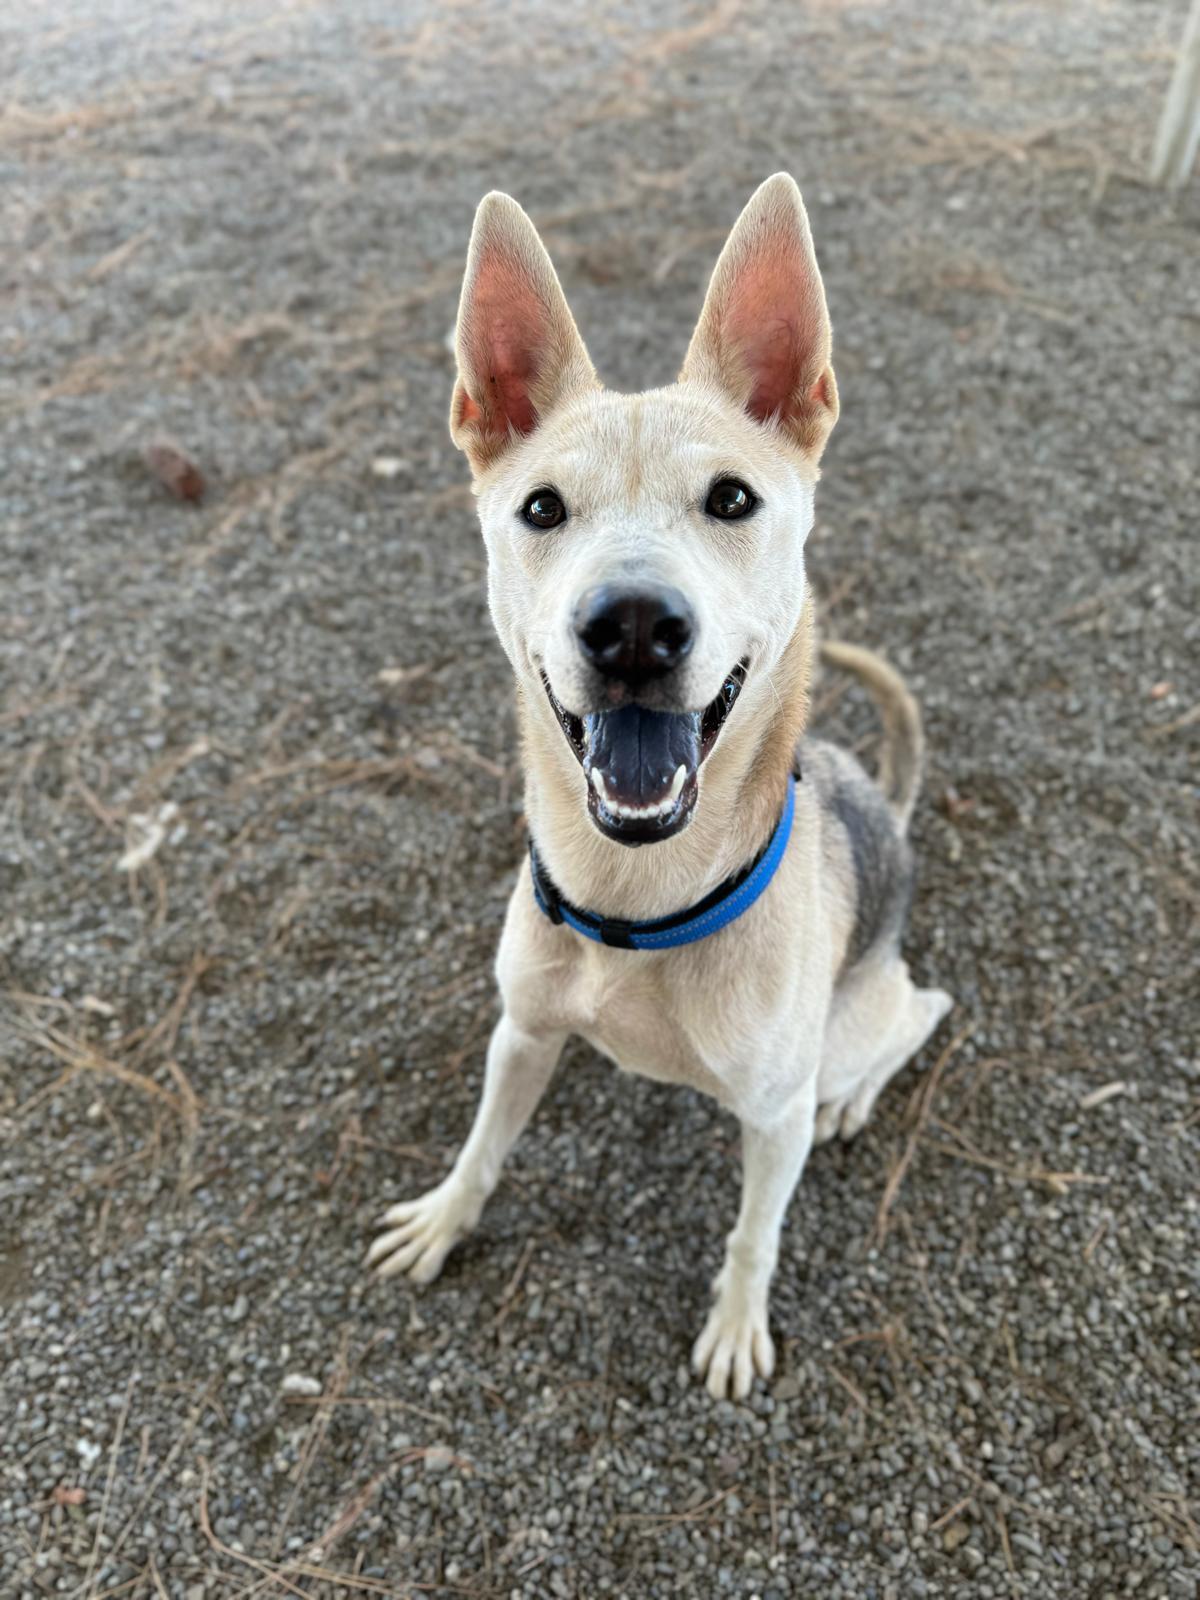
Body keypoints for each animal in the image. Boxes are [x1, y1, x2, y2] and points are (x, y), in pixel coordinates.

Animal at [371, 175, 953, 1401]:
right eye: (541, 509)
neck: (637, 906)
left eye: (731, 498)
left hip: (854, 1026)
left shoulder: (771, 1121)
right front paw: (445, 1218)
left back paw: (857, 1093)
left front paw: (735, 1327)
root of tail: (882, 805)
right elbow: (483, 1143)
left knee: (922, 1011)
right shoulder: (521, 1031)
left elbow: (754, 1233)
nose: (633, 624)